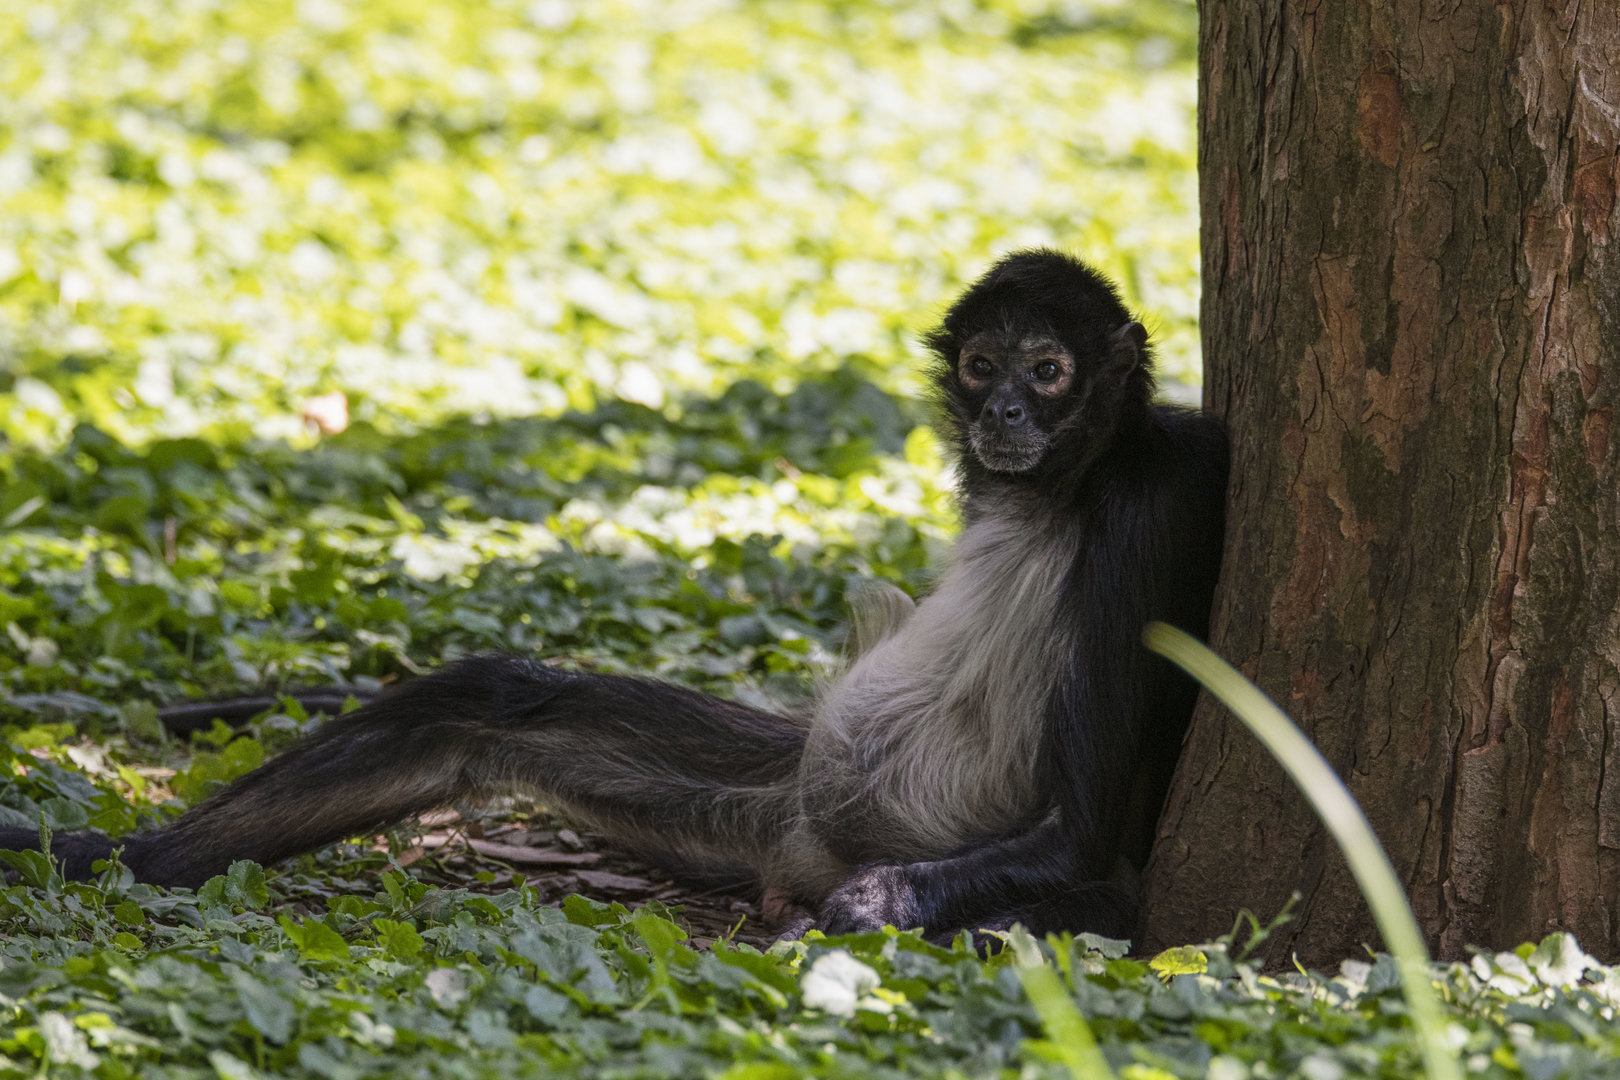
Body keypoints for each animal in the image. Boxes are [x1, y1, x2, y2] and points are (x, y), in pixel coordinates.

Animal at [0, 250, 1226, 941]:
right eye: (982, 365)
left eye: (1049, 372)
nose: (1005, 413)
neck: (1068, 482)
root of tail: (797, 841)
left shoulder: (1154, 501)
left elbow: (1079, 841)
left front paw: (874, 910)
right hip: (773, 795)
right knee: (490, 699)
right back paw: (104, 859)